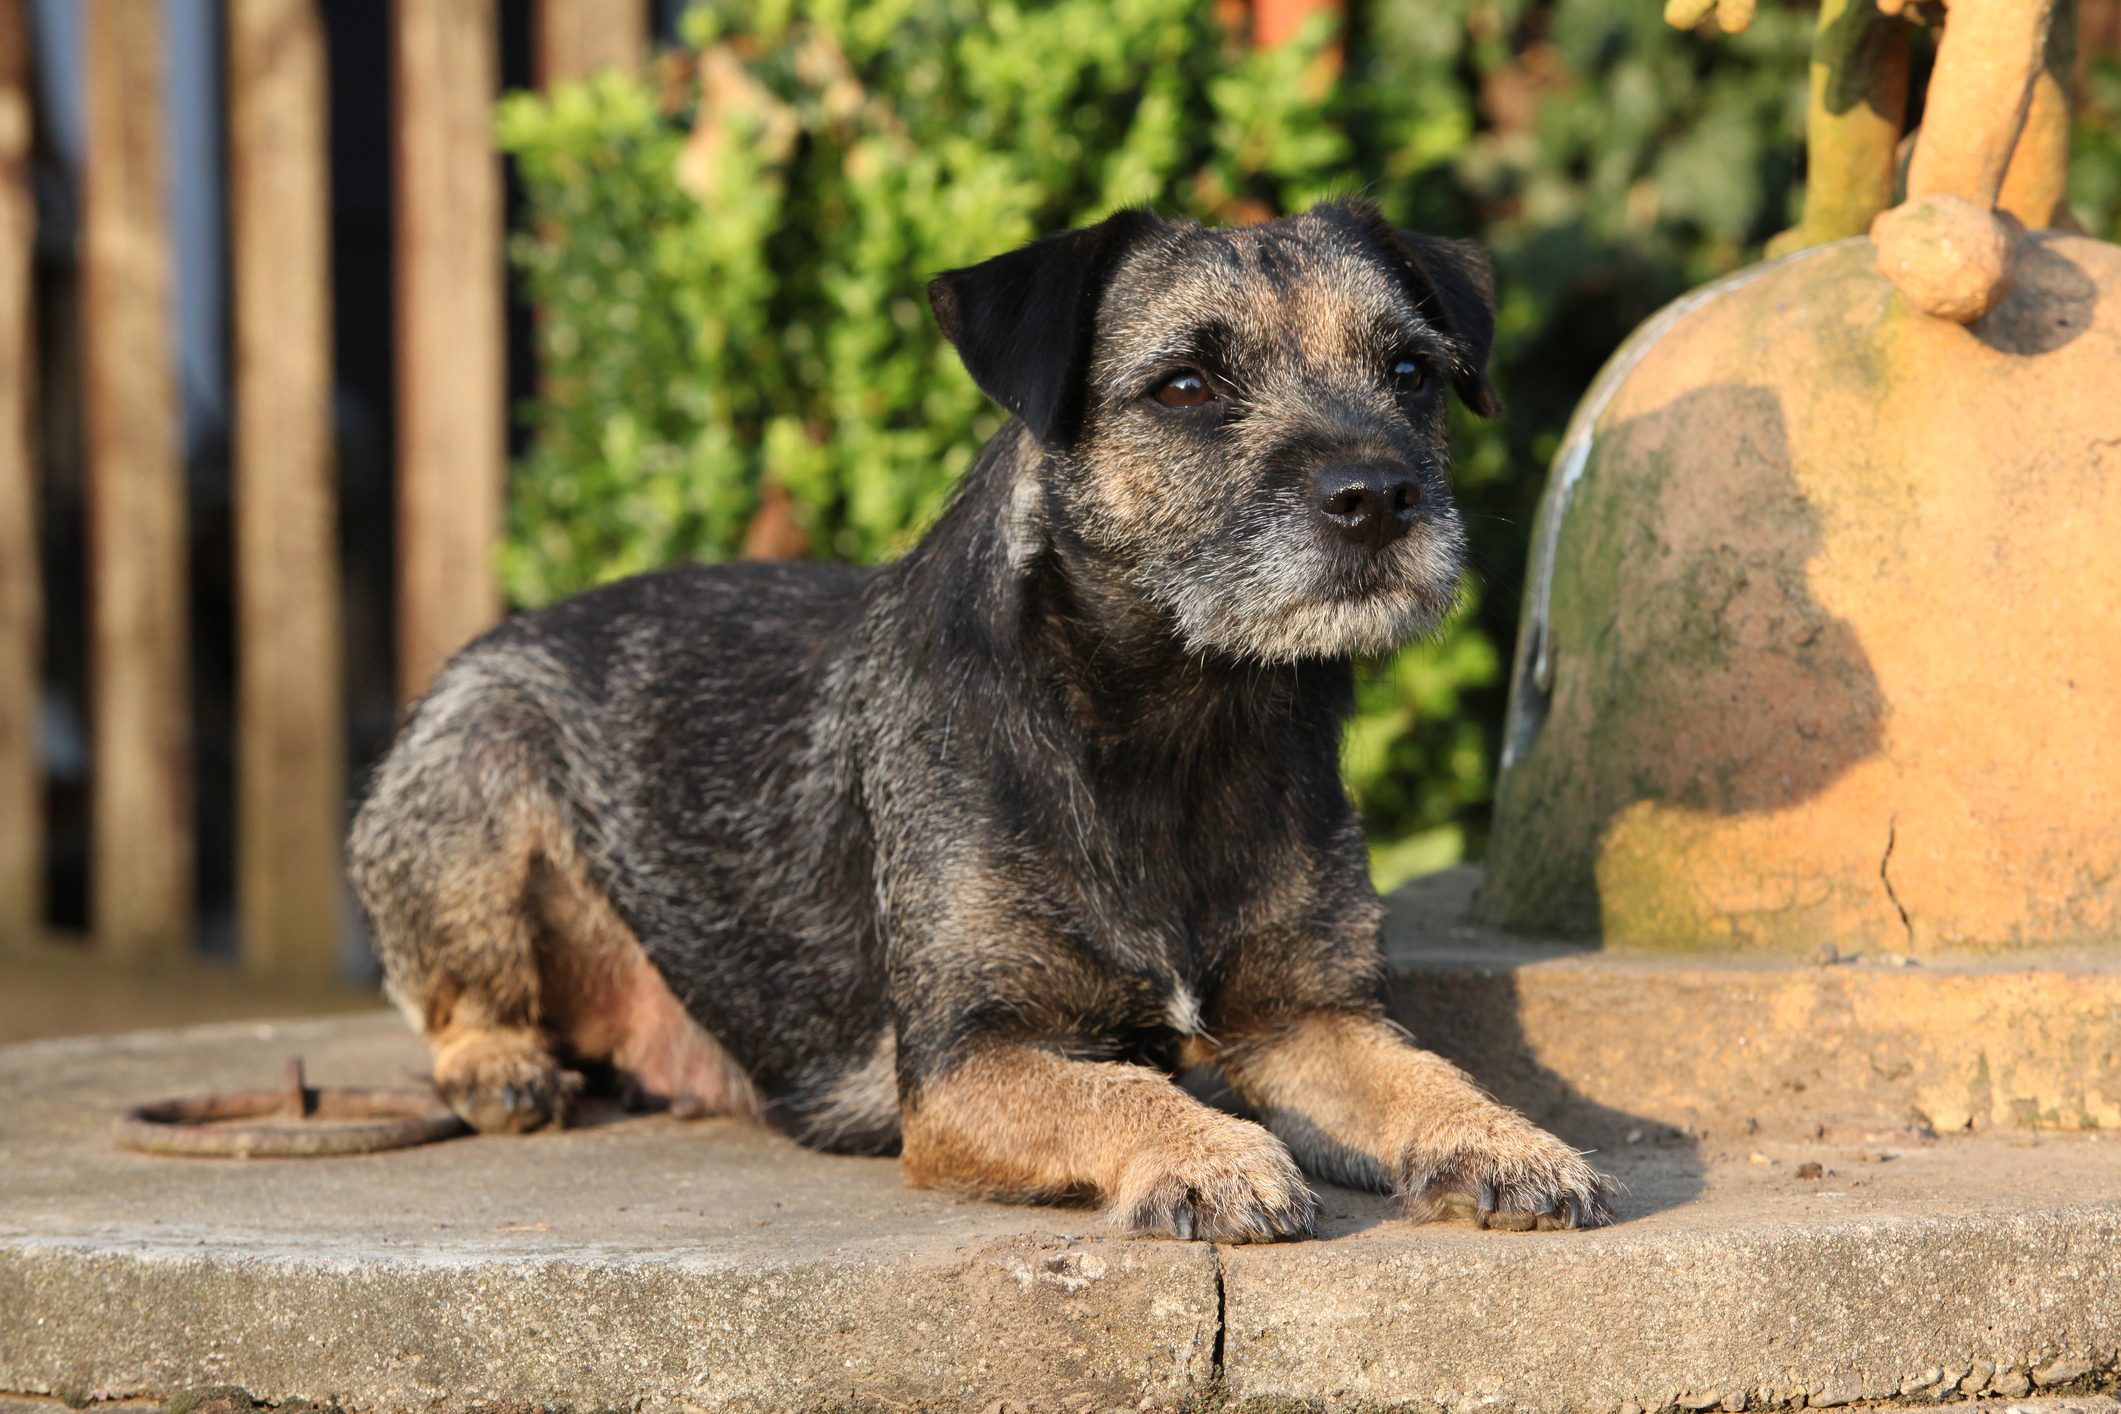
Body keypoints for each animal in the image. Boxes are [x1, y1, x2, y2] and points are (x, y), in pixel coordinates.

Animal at [347, 196, 1611, 1238]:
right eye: (1186, 386)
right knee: (453, 998)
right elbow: (1116, 1083)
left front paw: (1510, 1140)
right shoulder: (967, 1059)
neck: (1174, 726)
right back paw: (502, 1064)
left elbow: (1423, 1073)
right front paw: (1209, 1153)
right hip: (473, 777)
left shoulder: (1307, 1017)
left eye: (1409, 370)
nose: (1379, 496)